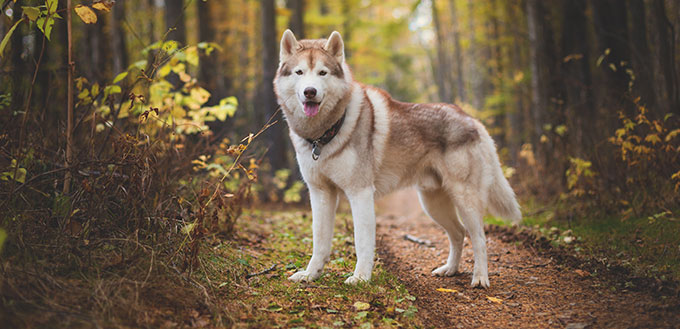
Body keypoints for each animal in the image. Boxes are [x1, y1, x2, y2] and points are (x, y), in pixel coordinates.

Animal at [272, 30, 520, 288]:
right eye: (299, 72)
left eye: (323, 72)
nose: (310, 91)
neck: (324, 135)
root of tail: (473, 120)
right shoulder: (320, 193)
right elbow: (319, 241)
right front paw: (311, 274)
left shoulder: (360, 193)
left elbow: (362, 242)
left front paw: (361, 278)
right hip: (433, 204)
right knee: (458, 233)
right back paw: (450, 269)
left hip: (465, 199)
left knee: (479, 238)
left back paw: (480, 278)